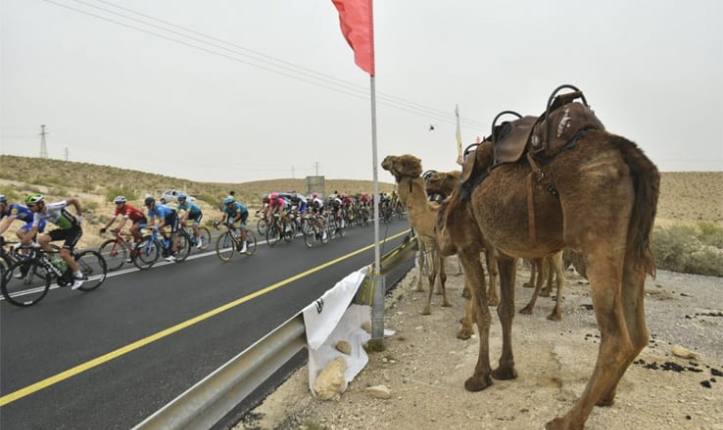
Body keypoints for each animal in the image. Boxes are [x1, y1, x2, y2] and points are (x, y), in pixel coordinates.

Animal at [382, 154, 450, 312]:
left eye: (397, 162)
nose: (384, 159)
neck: (425, 215)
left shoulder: (429, 240)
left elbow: (434, 273)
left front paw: (427, 308)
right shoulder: (433, 243)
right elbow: (440, 274)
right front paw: (443, 301)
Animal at [446, 89, 660, 428]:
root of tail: (630, 155)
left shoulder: (467, 245)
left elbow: (483, 312)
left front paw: (480, 376)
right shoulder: (505, 252)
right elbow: (506, 310)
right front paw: (505, 368)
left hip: (596, 244)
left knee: (615, 336)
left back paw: (568, 419)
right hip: (631, 249)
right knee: (639, 332)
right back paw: (606, 397)